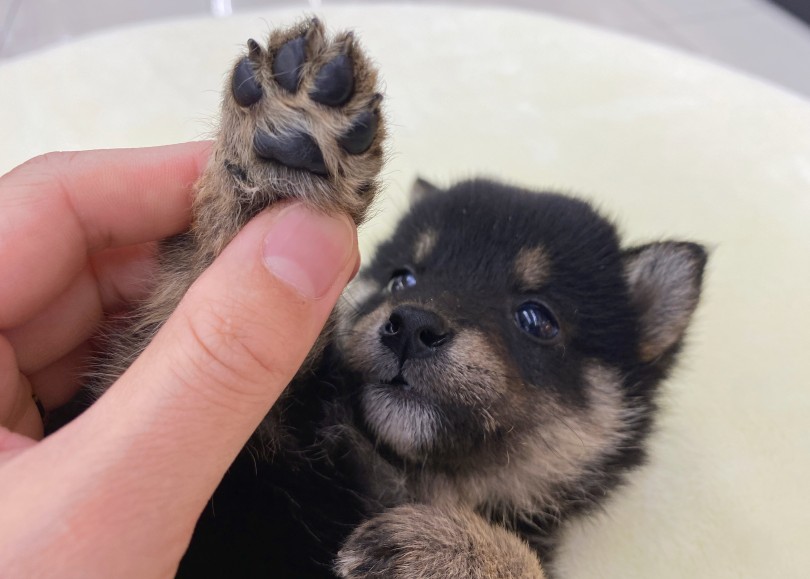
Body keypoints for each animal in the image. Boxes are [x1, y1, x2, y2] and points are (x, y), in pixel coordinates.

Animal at [52, 18, 708, 579]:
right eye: (402, 279)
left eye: (536, 319)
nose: (411, 325)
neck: (394, 481)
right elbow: (189, 289)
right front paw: (283, 157)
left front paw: (454, 548)